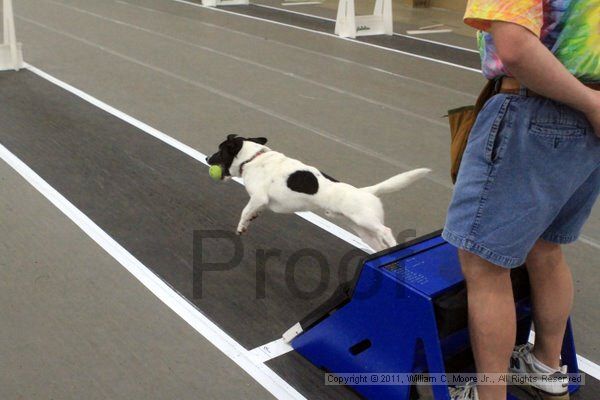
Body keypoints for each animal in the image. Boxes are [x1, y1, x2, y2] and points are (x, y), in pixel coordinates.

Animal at [207, 136, 432, 252]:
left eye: (220, 151)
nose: (207, 158)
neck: (252, 158)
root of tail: (367, 192)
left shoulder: (258, 197)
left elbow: (244, 212)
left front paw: (241, 227)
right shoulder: (259, 203)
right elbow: (253, 212)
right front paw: (251, 221)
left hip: (365, 220)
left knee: (386, 231)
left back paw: (394, 245)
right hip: (362, 231)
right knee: (378, 243)